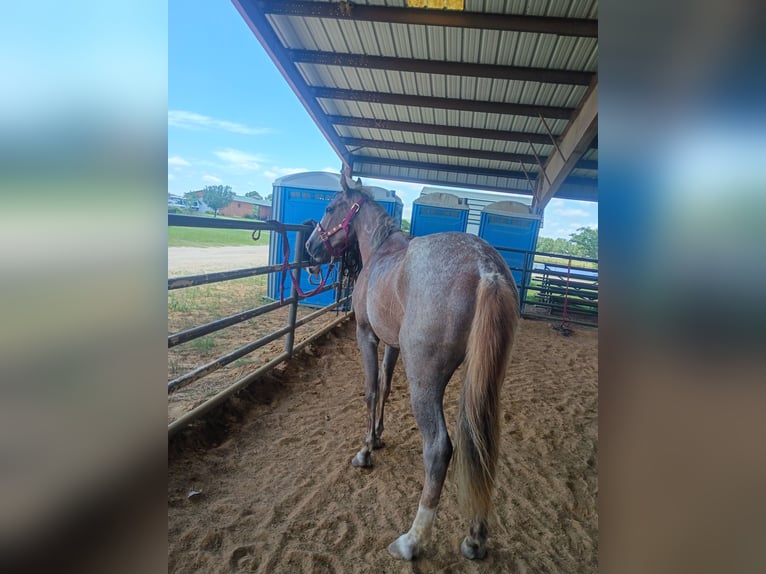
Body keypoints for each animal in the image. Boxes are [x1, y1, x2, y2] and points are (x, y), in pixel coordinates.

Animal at [305, 174, 520, 561]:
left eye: (329, 207)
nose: (311, 247)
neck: (381, 252)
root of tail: (486, 269)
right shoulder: (391, 343)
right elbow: (386, 386)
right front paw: (377, 435)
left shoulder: (367, 335)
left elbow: (371, 389)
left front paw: (365, 450)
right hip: (484, 382)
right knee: (481, 444)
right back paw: (475, 537)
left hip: (425, 379)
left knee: (439, 448)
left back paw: (412, 540)